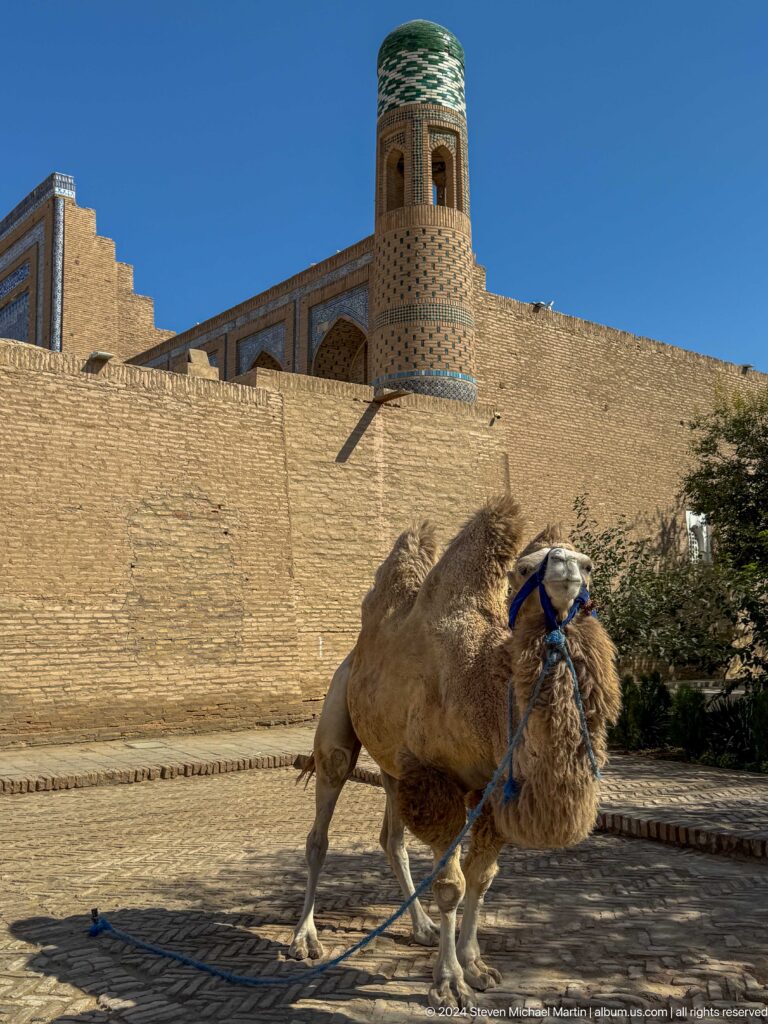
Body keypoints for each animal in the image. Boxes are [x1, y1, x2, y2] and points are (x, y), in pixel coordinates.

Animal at [288, 495, 621, 1009]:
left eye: (587, 563)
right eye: (525, 568)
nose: (568, 572)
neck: (485, 694)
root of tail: (353, 655)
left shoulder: (491, 787)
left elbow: (481, 878)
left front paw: (476, 964)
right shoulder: (436, 777)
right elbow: (451, 885)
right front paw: (449, 982)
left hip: (392, 764)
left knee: (392, 839)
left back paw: (421, 927)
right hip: (338, 720)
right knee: (321, 825)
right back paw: (305, 938)